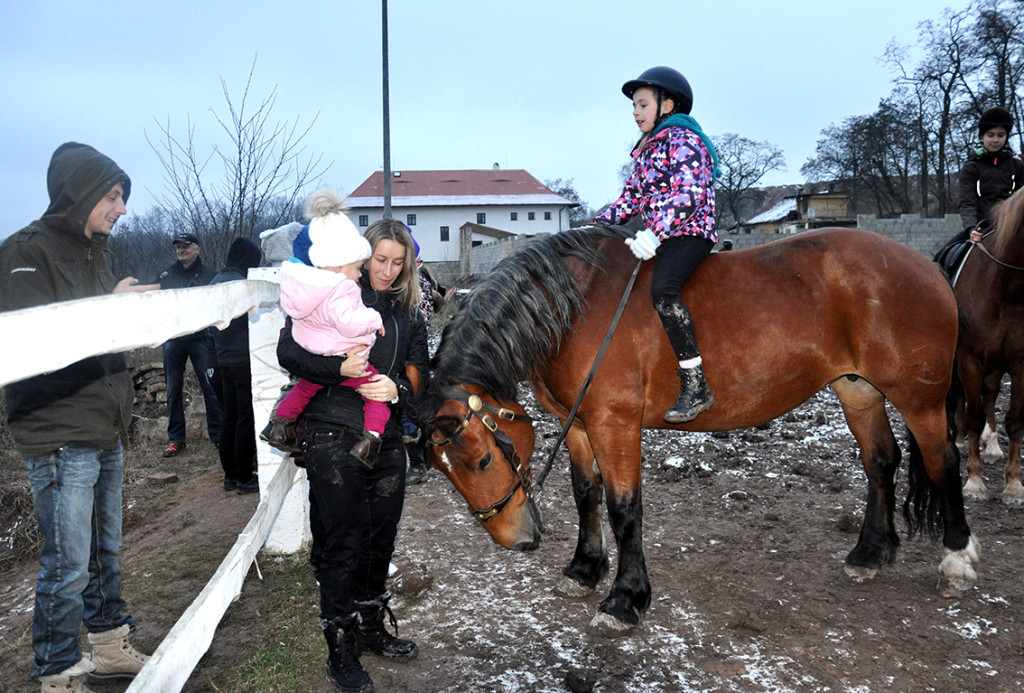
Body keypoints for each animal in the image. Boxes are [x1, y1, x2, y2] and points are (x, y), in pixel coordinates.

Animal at [411, 227, 978, 630]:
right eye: (447, 472)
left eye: (482, 459)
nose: (518, 541)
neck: (572, 309)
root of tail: (924, 265)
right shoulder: (578, 427)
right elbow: (586, 494)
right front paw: (585, 569)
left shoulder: (615, 424)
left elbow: (623, 509)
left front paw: (626, 598)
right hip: (858, 390)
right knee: (881, 461)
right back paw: (870, 552)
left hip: (920, 399)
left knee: (942, 461)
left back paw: (957, 557)